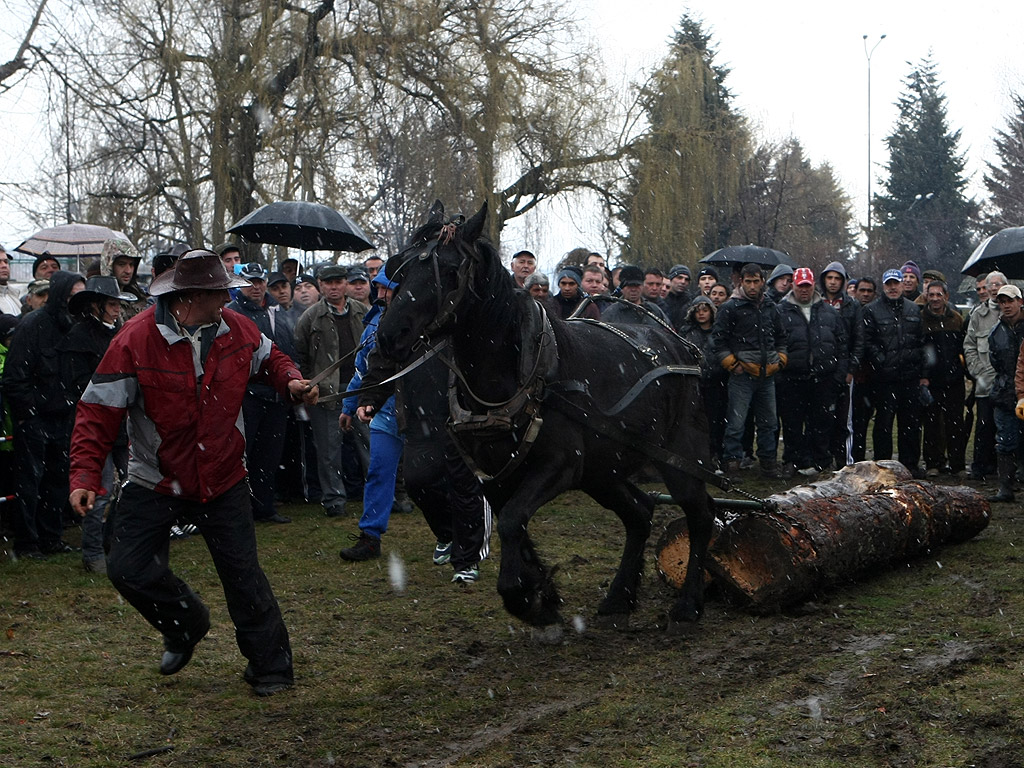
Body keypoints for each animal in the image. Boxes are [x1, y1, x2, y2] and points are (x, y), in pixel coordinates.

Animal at [376, 201, 712, 626]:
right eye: (398, 267)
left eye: (450, 270)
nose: (389, 335)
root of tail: (681, 345)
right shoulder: (493, 473)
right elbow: (512, 522)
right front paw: (540, 590)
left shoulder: (559, 466)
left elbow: (510, 521)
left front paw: (526, 598)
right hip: (602, 470)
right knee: (640, 511)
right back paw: (620, 595)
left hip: (679, 456)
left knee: (699, 514)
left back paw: (689, 602)